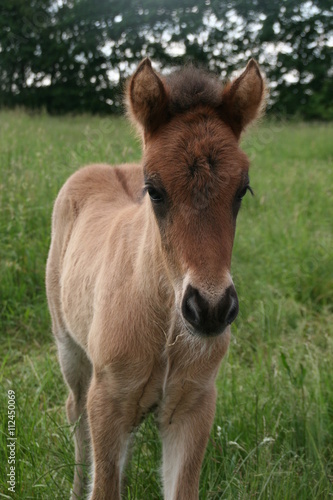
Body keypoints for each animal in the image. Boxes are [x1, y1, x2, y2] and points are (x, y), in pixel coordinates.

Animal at [46, 56, 264, 498]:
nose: (210, 309)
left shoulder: (194, 405)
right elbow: (103, 485)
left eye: (242, 190)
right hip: (68, 347)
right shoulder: (107, 400)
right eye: (155, 190)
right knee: (74, 413)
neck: (165, 323)